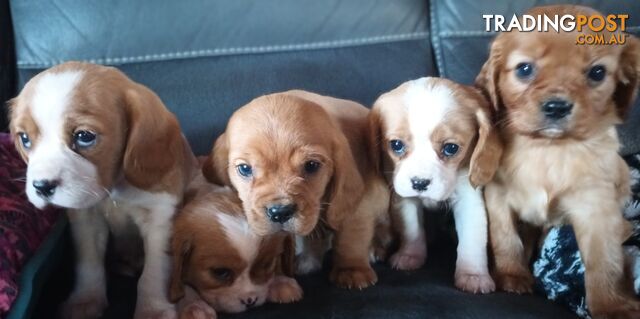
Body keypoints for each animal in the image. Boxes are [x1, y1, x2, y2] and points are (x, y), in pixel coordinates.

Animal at [8, 61, 196, 318]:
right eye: (25, 139)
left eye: (84, 136)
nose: (41, 186)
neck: (115, 189)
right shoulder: (87, 221)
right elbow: (89, 263)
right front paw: (85, 300)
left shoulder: (160, 219)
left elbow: (154, 271)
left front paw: (153, 309)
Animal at [202, 89, 390, 290]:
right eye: (245, 168)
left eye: (311, 165)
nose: (280, 212)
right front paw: (309, 260)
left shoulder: (358, 202)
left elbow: (351, 237)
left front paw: (352, 270)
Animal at [372, 77, 502, 296]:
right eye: (396, 145)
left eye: (451, 148)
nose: (419, 183)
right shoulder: (404, 198)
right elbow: (412, 228)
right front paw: (410, 256)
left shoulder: (469, 200)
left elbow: (472, 239)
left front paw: (473, 275)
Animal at [476, 3, 640, 318]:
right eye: (525, 69)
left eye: (597, 73)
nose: (556, 107)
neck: (548, 150)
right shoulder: (498, 196)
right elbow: (506, 238)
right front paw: (512, 275)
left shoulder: (596, 207)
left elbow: (605, 260)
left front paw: (612, 305)